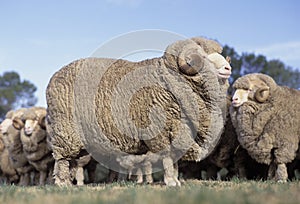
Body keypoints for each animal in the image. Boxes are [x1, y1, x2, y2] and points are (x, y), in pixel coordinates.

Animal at [46, 35, 230, 186]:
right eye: (204, 57)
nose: (228, 68)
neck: (167, 79)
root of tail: (54, 76)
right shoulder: (159, 130)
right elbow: (168, 157)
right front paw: (170, 181)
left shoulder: (180, 129)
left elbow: (175, 159)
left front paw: (175, 180)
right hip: (64, 131)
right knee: (62, 159)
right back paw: (62, 183)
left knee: (72, 160)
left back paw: (68, 182)